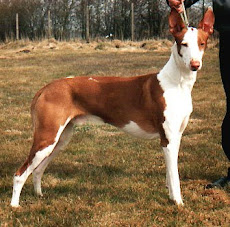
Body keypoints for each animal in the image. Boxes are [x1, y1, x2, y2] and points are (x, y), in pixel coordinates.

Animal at [10, 8, 215, 207]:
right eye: (184, 44)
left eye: (202, 43)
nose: (195, 65)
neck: (176, 83)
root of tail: (45, 88)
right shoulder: (168, 139)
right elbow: (175, 177)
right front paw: (179, 203)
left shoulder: (175, 137)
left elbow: (170, 175)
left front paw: (172, 198)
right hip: (47, 138)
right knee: (20, 174)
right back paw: (14, 206)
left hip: (60, 140)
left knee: (37, 170)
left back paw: (39, 195)